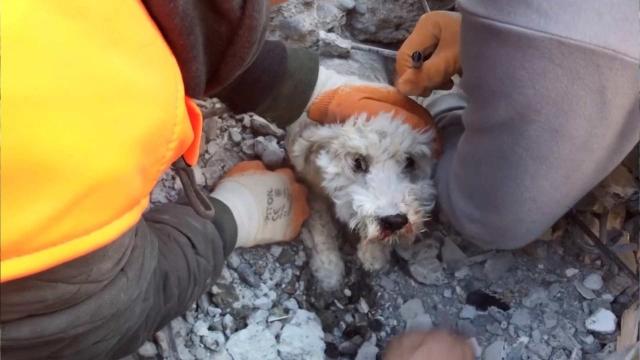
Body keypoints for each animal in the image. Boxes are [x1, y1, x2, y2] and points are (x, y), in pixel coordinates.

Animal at [286, 67, 440, 290]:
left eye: (410, 162)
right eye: (358, 162)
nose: (395, 221)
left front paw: (374, 254)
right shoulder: (312, 187)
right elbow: (321, 225)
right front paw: (328, 268)